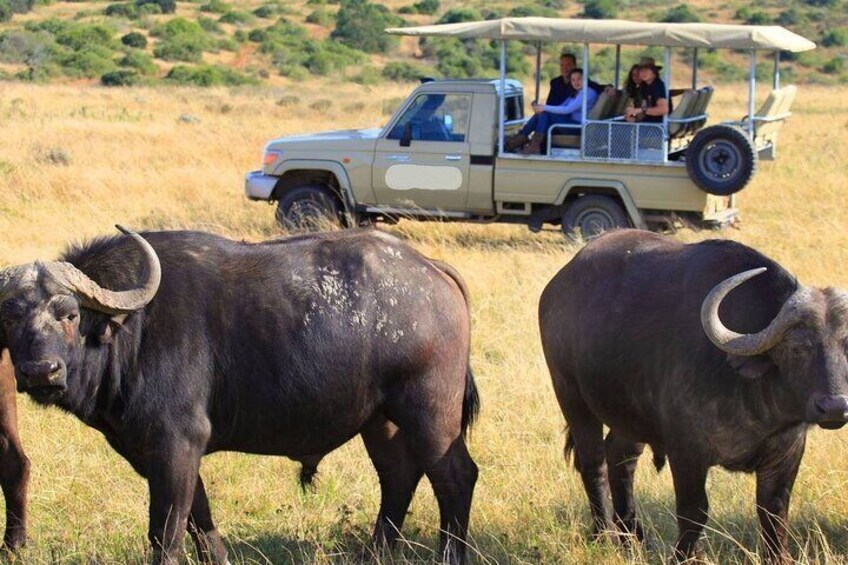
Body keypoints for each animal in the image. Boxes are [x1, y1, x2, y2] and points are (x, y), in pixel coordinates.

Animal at [0, 227, 479, 564]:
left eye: (69, 313)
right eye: (11, 316)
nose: (41, 371)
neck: (131, 329)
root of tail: (432, 270)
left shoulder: (175, 443)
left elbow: (166, 531)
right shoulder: (163, 452)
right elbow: (200, 520)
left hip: (430, 413)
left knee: (456, 477)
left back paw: (449, 555)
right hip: (380, 420)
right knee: (399, 476)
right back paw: (374, 553)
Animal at [539, 229, 848, 562]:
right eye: (797, 348)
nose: (834, 407)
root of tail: (557, 286)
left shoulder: (786, 452)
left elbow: (774, 512)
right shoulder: (687, 451)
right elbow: (694, 511)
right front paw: (685, 556)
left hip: (630, 416)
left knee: (621, 459)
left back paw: (632, 538)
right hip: (571, 397)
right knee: (593, 463)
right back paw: (602, 534)